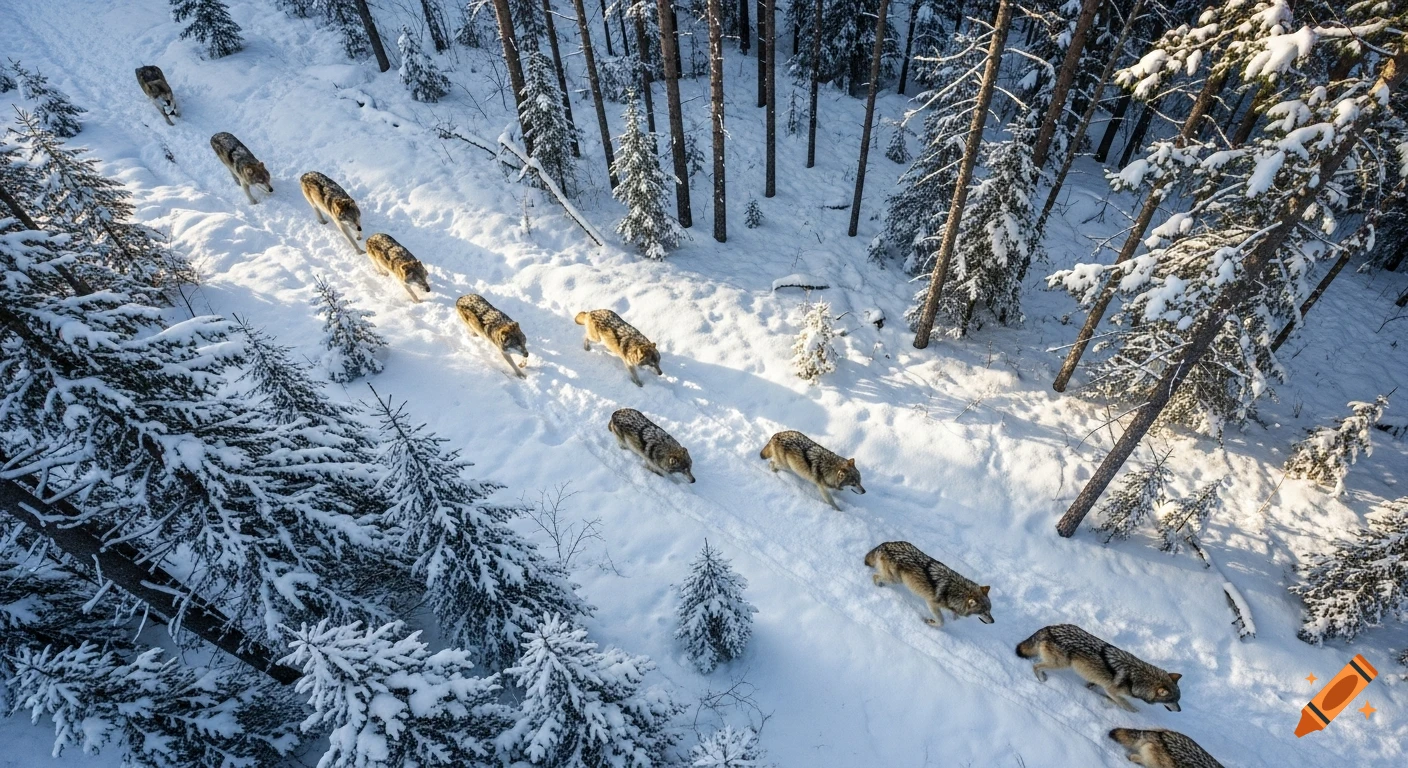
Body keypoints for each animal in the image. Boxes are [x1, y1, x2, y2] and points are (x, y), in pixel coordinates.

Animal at [865, 541, 993, 627]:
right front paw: (929, 621)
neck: (956, 590)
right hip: (895, 579)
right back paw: (878, 587)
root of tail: (884, 545)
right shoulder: (931, 603)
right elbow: (941, 621)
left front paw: (954, 616)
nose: (993, 621)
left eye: (990, 610)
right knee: (875, 576)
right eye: (984, 612)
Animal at [1016, 624, 1182, 712]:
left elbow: (1093, 686)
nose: (1180, 710)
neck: (1138, 677)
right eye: (1174, 700)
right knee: (1035, 665)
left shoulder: (1100, 683)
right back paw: (1041, 678)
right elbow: (1126, 705)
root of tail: (1050, 628)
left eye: (1178, 700)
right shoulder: (1111, 691)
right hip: (1060, 664)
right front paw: (1135, 712)